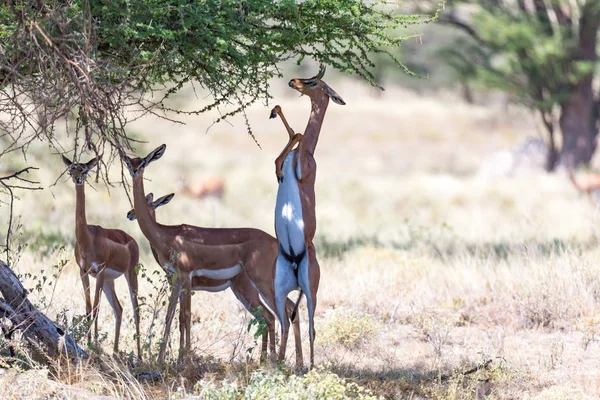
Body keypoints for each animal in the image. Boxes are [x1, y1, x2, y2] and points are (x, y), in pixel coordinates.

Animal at [62, 155, 142, 358]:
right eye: (71, 169)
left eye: (84, 170)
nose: (78, 180)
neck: (86, 239)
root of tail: (131, 240)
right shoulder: (83, 272)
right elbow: (88, 306)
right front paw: (90, 342)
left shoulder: (98, 271)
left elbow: (96, 308)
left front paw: (94, 345)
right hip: (109, 281)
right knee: (119, 309)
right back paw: (114, 350)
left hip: (129, 274)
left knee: (136, 310)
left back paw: (139, 355)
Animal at [124, 145, 304, 366]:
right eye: (128, 162)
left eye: (143, 163)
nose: (129, 214)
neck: (165, 235)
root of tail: (274, 242)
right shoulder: (175, 280)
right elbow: (171, 316)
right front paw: (162, 359)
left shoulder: (186, 277)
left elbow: (185, 316)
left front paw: (185, 359)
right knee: (285, 312)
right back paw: (292, 362)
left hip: (260, 284)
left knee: (279, 316)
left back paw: (278, 361)